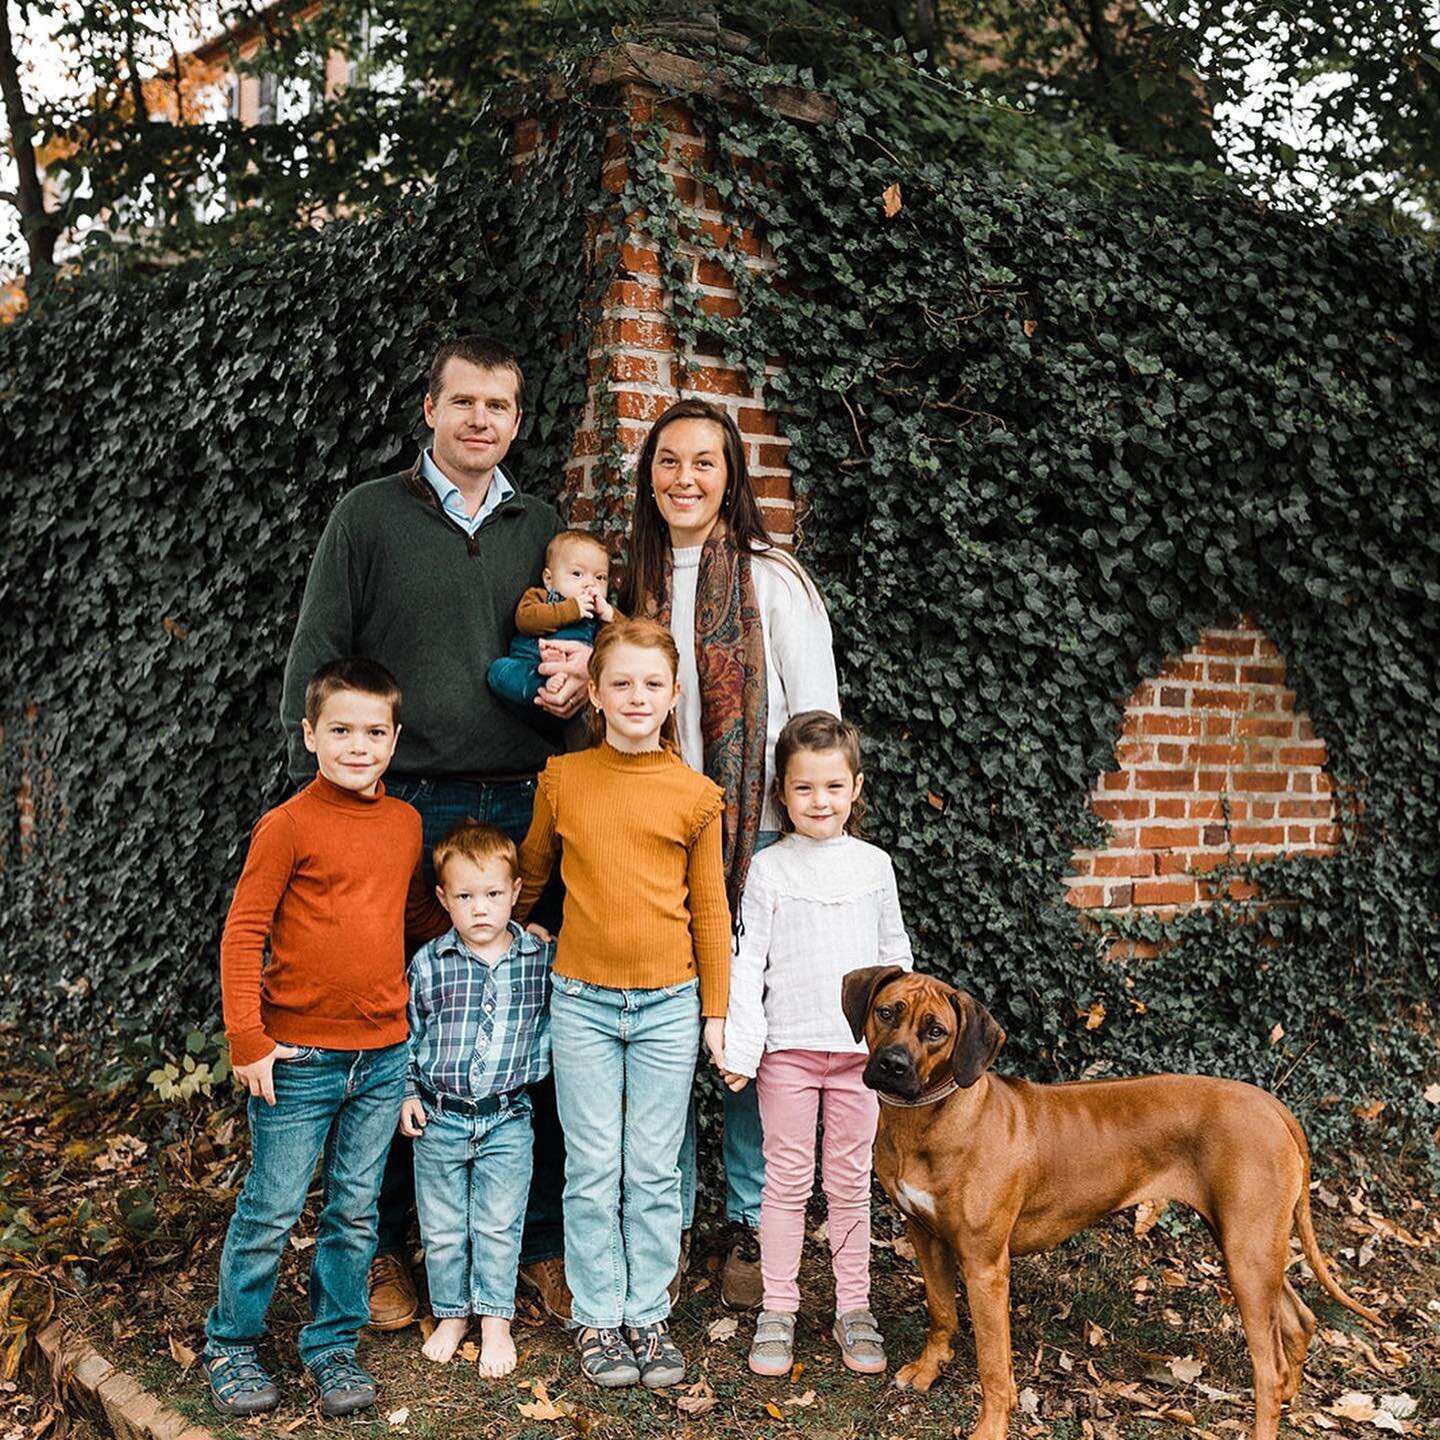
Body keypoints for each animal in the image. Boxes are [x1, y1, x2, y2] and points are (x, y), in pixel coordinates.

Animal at [840, 961, 1382, 1440]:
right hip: (1249, 1243)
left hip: (1247, 1251)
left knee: (1266, 1370)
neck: (932, 1117)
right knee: (1298, 1318)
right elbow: (941, 1312)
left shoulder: (984, 1265)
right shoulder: (925, 1234)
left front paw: (991, 1427)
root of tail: (1271, 1104)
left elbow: (994, 1366)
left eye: (936, 1031)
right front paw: (928, 1369)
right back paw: (1291, 1393)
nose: (892, 1065)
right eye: (887, 1012)